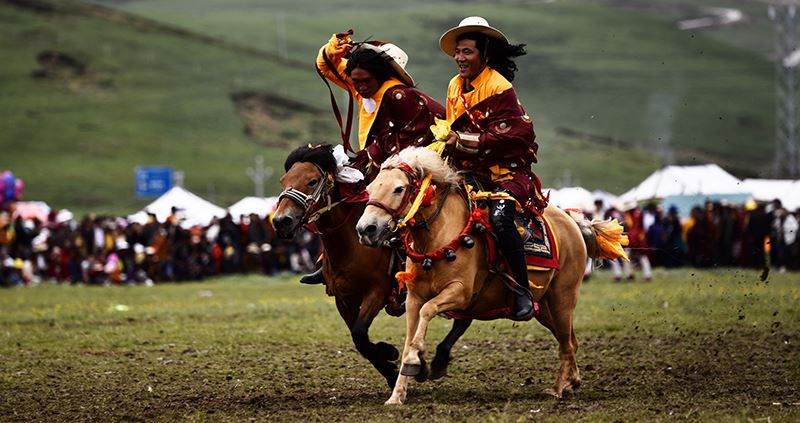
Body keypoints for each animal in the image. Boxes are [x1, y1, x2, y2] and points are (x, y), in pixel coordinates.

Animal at [272, 144, 476, 390]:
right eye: (283, 181)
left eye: (312, 181)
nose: (281, 221)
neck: (350, 245)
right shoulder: (343, 299)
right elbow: (358, 338)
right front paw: (389, 359)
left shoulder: (376, 292)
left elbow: (360, 334)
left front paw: (390, 359)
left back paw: (438, 360)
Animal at [356, 147, 624, 406]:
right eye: (369, 188)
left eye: (399, 188)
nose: (366, 229)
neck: (440, 235)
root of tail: (572, 221)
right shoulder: (414, 298)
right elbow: (411, 335)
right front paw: (397, 394)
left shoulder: (460, 292)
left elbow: (428, 311)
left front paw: (415, 360)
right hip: (546, 308)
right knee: (570, 340)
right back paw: (571, 382)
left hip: (562, 300)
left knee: (567, 344)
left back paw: (558, 389)